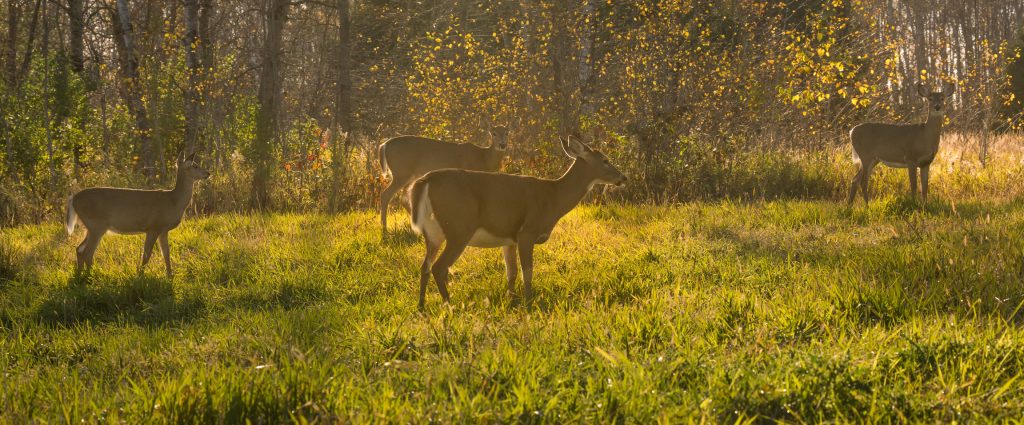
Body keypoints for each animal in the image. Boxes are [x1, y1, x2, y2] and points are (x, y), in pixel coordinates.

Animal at [65, 151, 209, 278]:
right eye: (195, 166)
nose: (208, 173)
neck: (173, 201)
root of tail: (73, 198)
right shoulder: (153, 227)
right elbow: (146, 255)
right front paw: (140, 276)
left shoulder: (163, 230)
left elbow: (166, 254)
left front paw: (170, 276)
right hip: (97, 225)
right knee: (87, 253)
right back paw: (90, 277)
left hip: (90, 227)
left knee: (79, 250)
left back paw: (81, 276)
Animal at [376, 125, 507, 239]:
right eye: (494, 133)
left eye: (507, 132)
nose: (503, 144)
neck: (483, 158)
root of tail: (384, 145)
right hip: (401, 172)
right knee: (386, 195)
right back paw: (384, 229)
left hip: (411, 176)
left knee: (403, 198)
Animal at [407, 138, 622, 311]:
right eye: (605, 160)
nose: (623, 177)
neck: (552, 197)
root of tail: (425, 180)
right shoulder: (527, 231)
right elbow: (528, 271)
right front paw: (528, 302)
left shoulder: (509, 239)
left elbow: (511, 272)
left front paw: (511, 300)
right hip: (459, 227)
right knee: (439, 267)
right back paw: (450, 305)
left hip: (433, 233)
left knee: (425, 266)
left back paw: (421, 305)